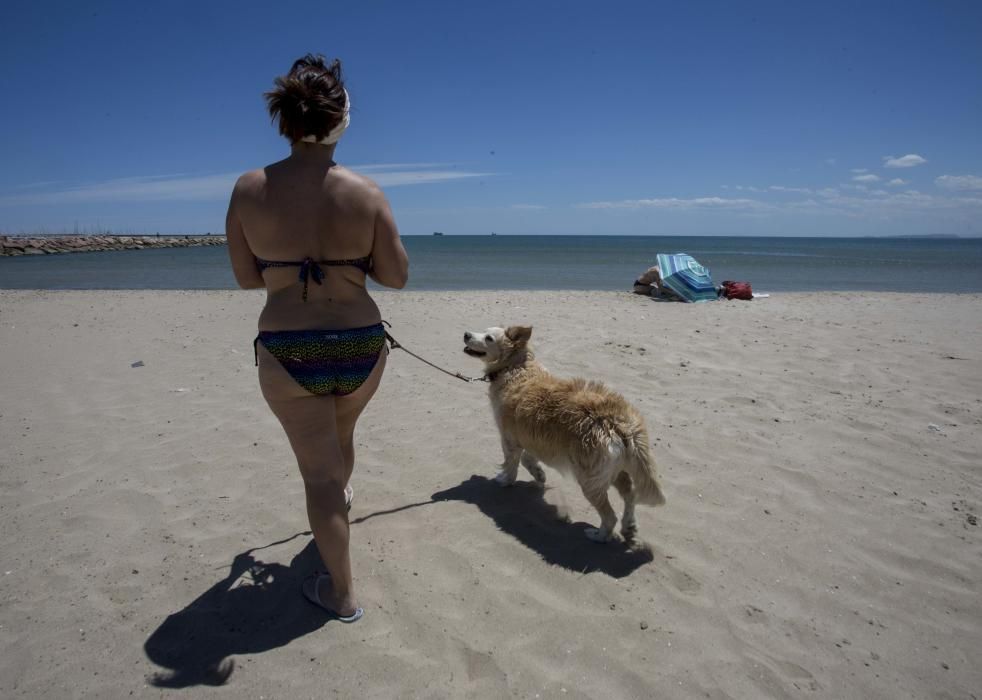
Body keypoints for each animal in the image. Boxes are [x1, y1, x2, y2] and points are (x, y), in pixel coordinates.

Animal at [464, 326, 668, 544]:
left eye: (489, 338)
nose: (466, 334)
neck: (516, 367)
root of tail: (619, 421)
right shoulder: (530, 437)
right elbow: (528, 459)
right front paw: (539, 473)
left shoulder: (509, 438)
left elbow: (511, 464)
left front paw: (505, 481)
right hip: (616, 471)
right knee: (630, 496)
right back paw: (629, 526)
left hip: (589, 479)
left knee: (609, 515)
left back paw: (599, 535)